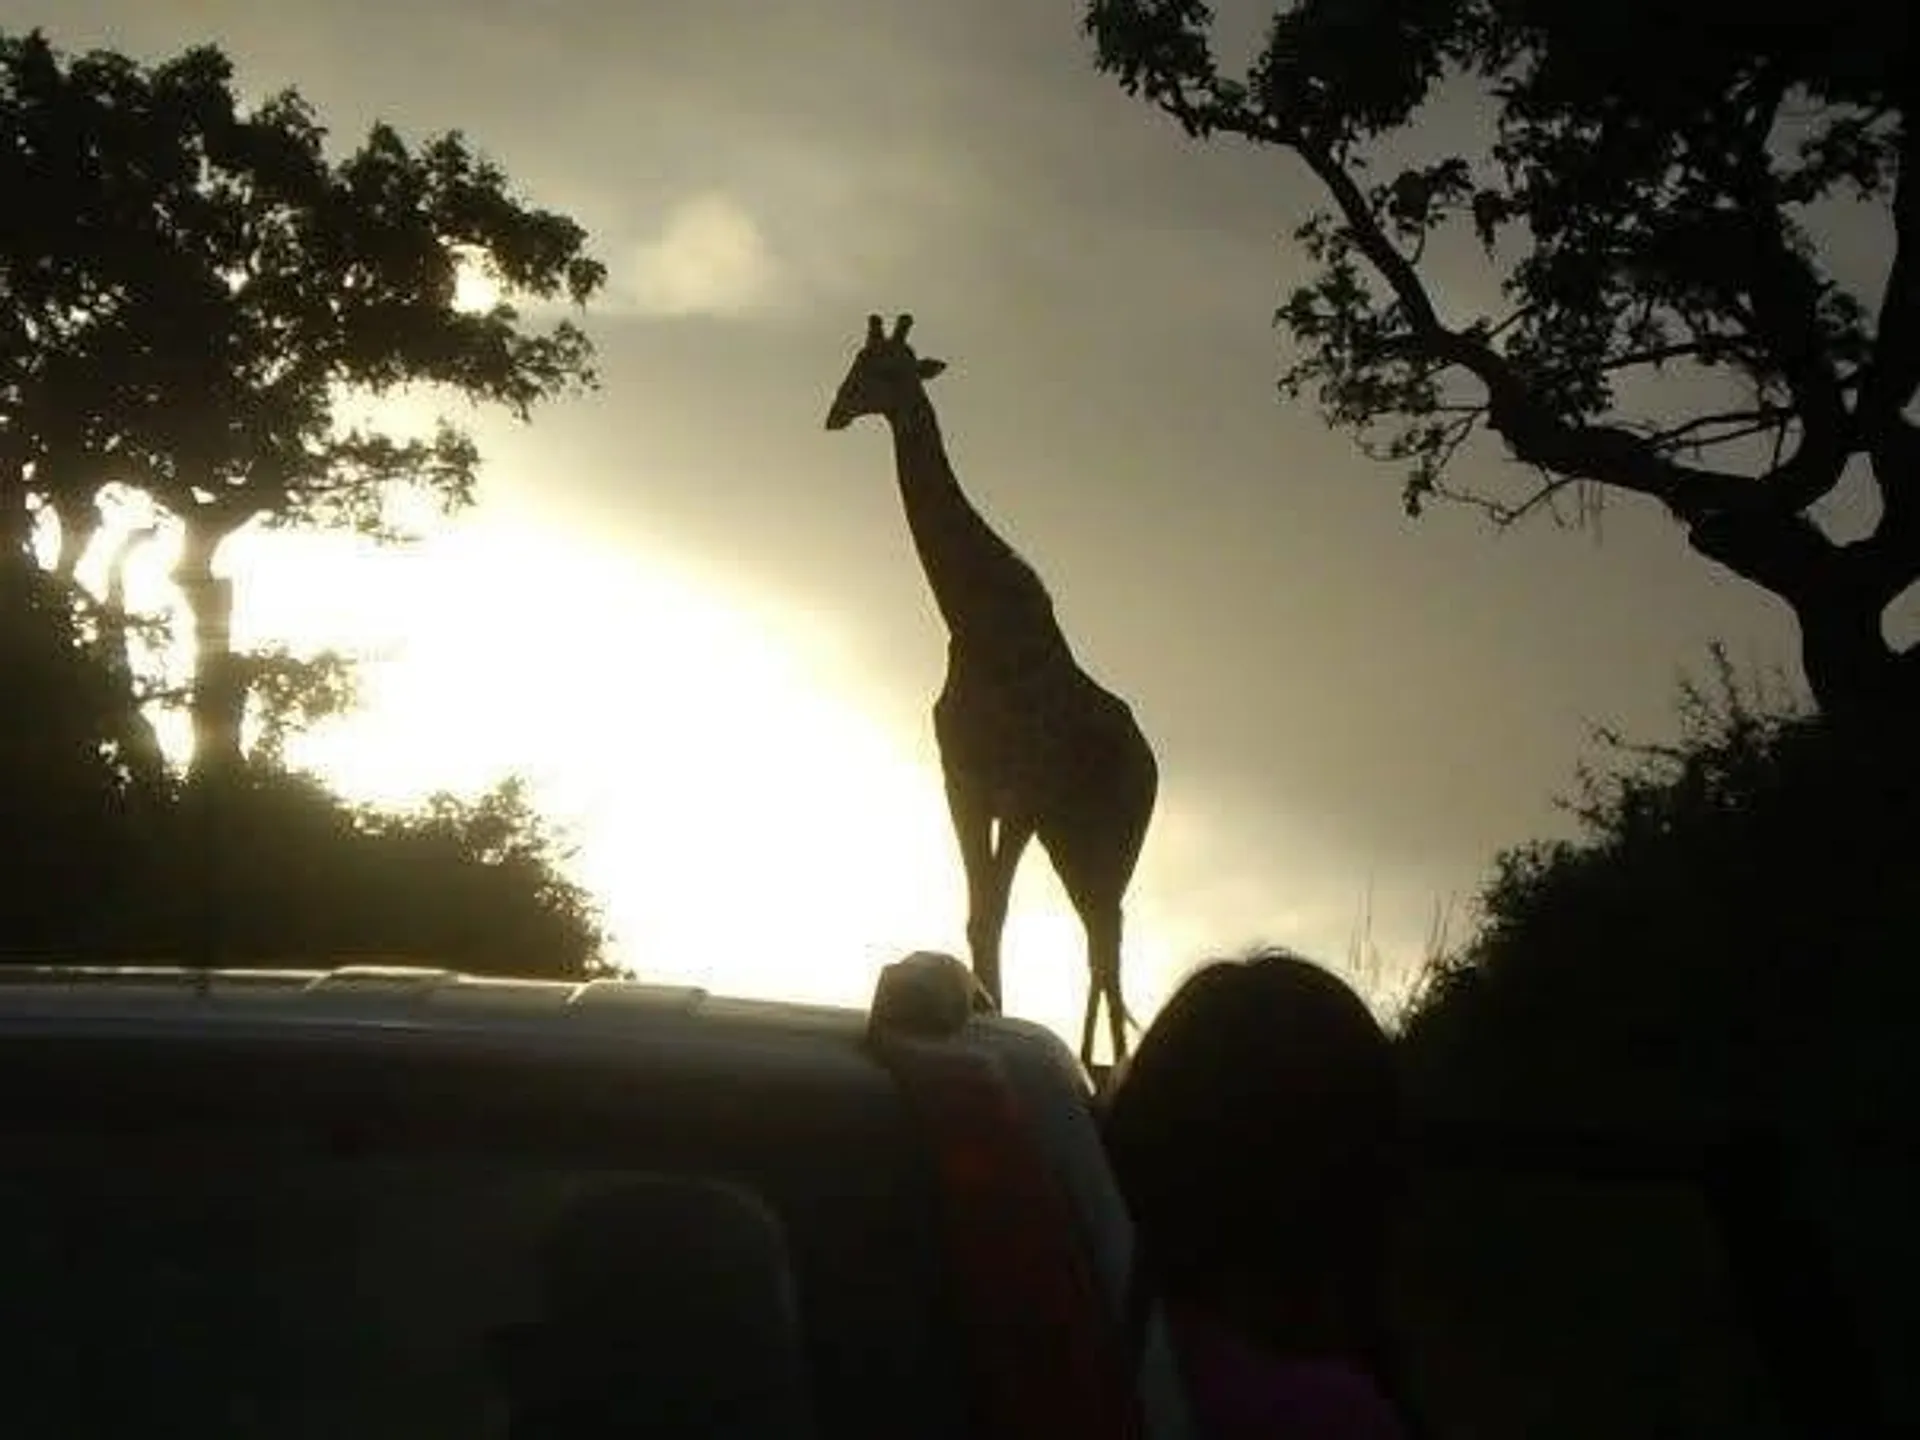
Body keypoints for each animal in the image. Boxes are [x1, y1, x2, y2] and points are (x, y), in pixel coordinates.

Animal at [824, 313, 1159, 1069]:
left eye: (892, 370)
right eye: (856, 363)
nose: (835, 413)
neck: (975, 624)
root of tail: (1154, 763)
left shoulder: (1022, 792)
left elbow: (995, 911)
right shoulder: (964, 781)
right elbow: (979, 914)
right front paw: (986, 1010)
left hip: (1112, 838)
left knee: (1107, 940)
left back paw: (1107, 1063)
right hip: (1073, 840)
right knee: (1098, 937)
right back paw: (1094, 1056)